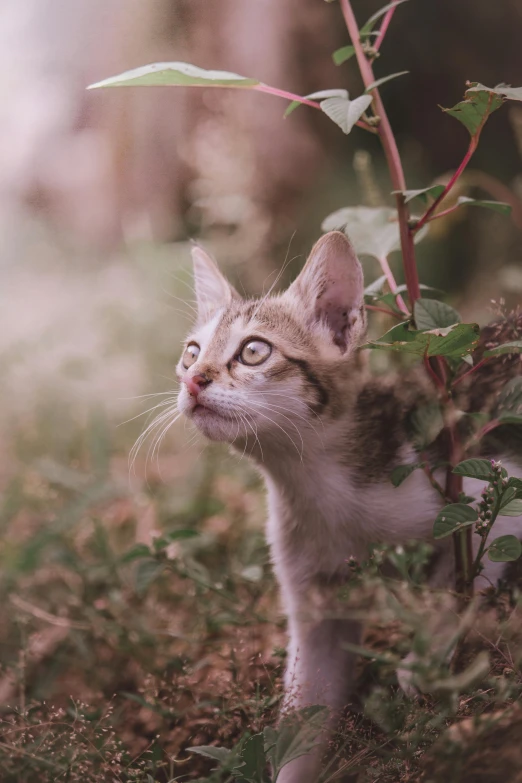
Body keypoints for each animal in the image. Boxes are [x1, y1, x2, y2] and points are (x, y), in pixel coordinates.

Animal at [176, 233, 520, 783]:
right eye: (191, 353)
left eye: (253, 351)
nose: (192, 381)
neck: (316, 485)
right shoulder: (315, 602)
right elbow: (303, 719)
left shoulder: (492, 490)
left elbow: (465, 582)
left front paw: (427, 655)